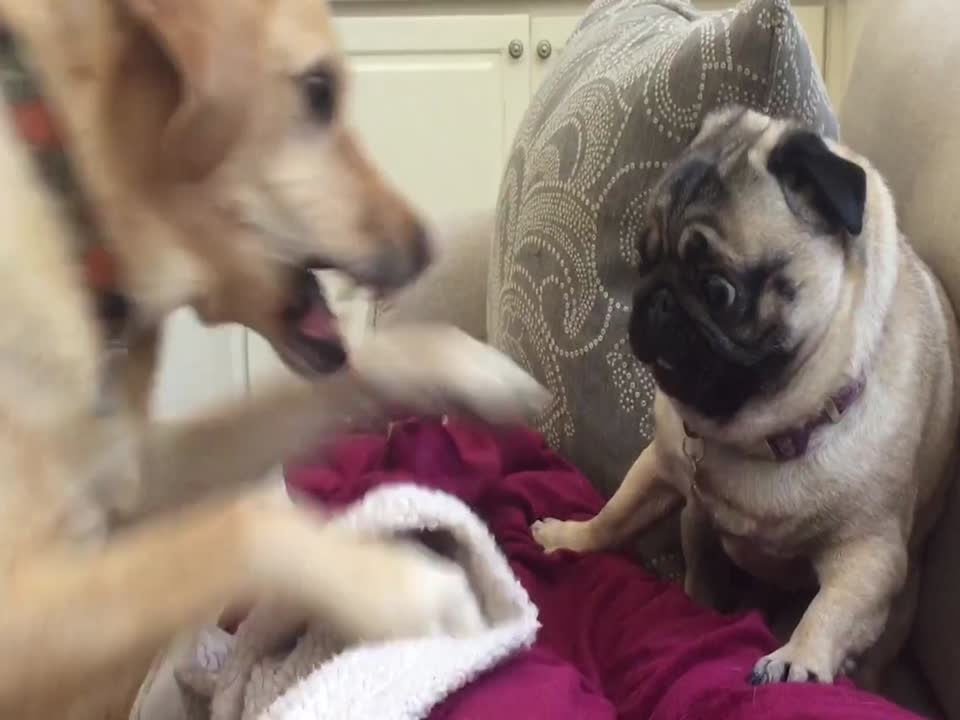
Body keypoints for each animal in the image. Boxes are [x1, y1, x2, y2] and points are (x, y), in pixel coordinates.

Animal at [0, 1, 548, 720]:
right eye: (317, 91)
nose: (429, 247)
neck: (76, 216)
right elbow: (245, 526)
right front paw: (408, 589)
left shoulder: (137, 472)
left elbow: (343, 375)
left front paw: (469, 369)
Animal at [536, 107, 956, 688]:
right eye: (644, 261)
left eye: (720, 290)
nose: (656, 299)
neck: (765, 433)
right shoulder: (659, 466)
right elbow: (614, 513)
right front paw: (570, 538)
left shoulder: (869, 554)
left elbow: (829, 610)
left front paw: (798, 657)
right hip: (696, 531)